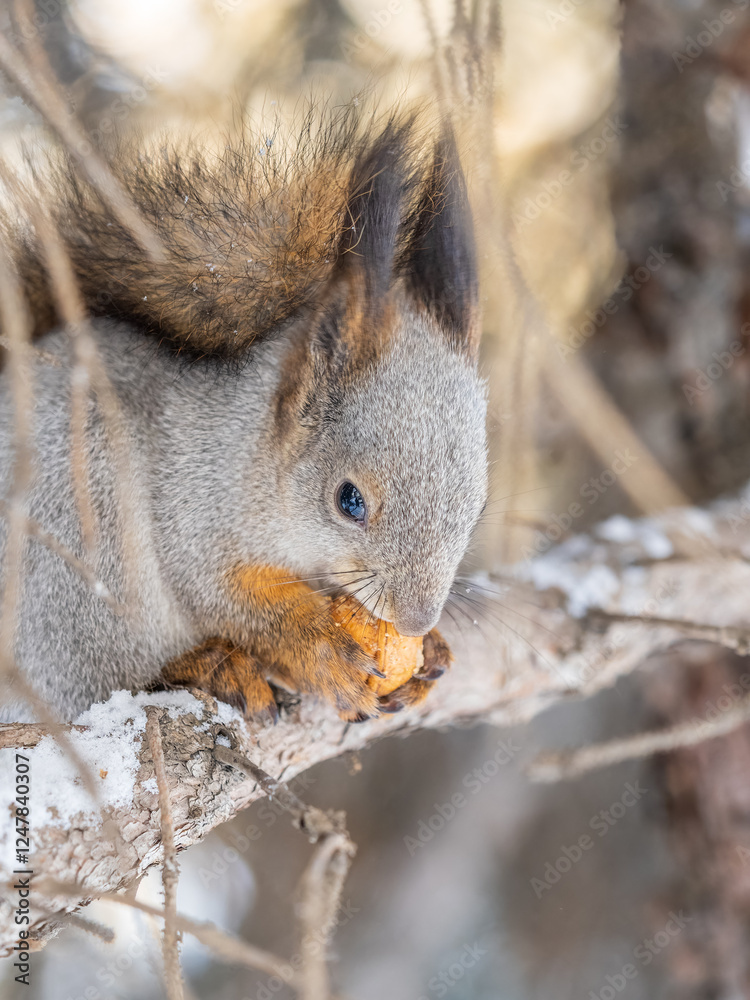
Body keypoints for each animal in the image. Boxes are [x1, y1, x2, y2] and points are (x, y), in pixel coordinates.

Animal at [0, 108, 488, 724]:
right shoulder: (193, 501)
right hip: (81, 542)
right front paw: (317, 650)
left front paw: (434, 652)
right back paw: (210, 666)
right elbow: (222, 592)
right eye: (349, 500)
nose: (416, 619)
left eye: (480, 505)